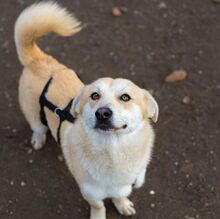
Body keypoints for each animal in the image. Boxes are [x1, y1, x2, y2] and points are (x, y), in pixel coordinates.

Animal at [14, 2, 159, 219]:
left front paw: (123, 205)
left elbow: (120, 195)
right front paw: (99, 215)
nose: (102, 113)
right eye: (94, 96)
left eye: (125, 97)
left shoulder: (125, 185)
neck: (113, 152)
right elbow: (98, 206)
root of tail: (38, 60)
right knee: (38, 127)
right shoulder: (90, 192)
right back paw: (38, 139)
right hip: (33, 115)